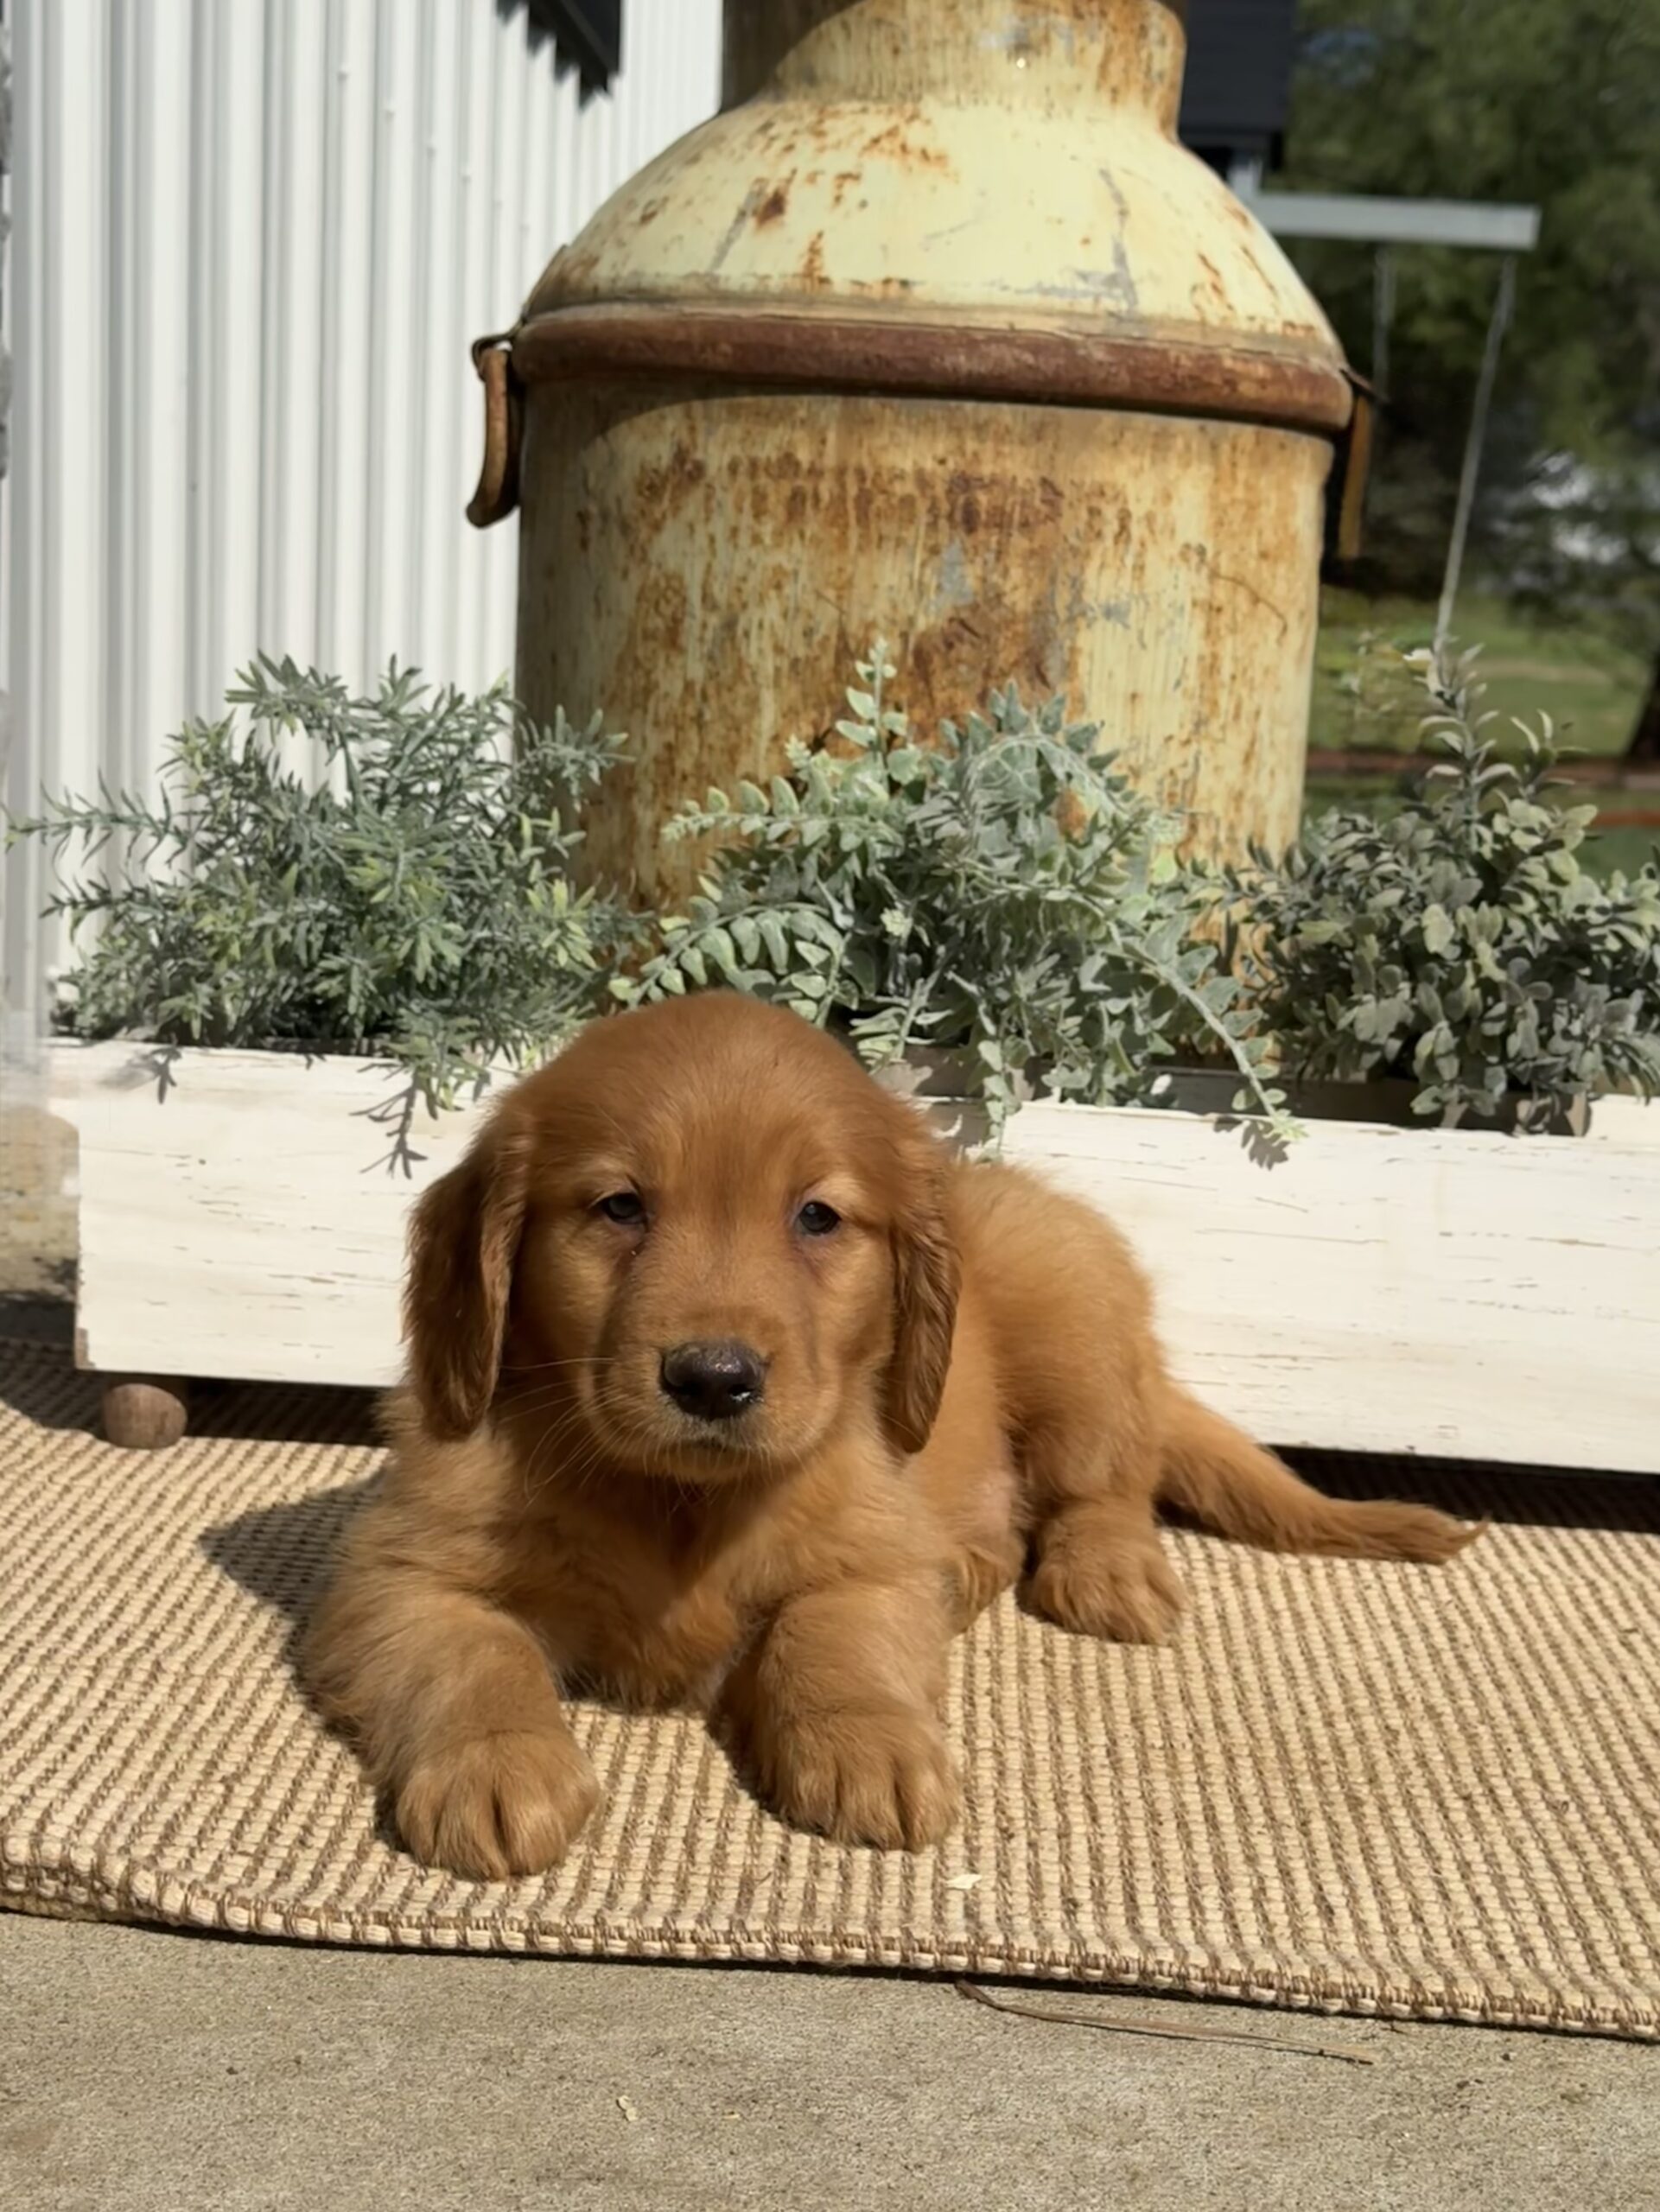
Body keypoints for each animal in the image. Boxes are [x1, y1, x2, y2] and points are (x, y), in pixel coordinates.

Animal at [305, 991, 1479, 1878]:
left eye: (817, 1216)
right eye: (619, 1207)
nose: (713, 1379)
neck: (678, 1498)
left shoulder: (864, 1552)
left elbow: (834, 1635)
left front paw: (867, 1743)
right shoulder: (399, 1571)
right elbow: (474, 1651)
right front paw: (495, 1767)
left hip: (1074, 1320)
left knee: (1105, 1482)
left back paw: (1104, 1571)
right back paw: (967, 1570)